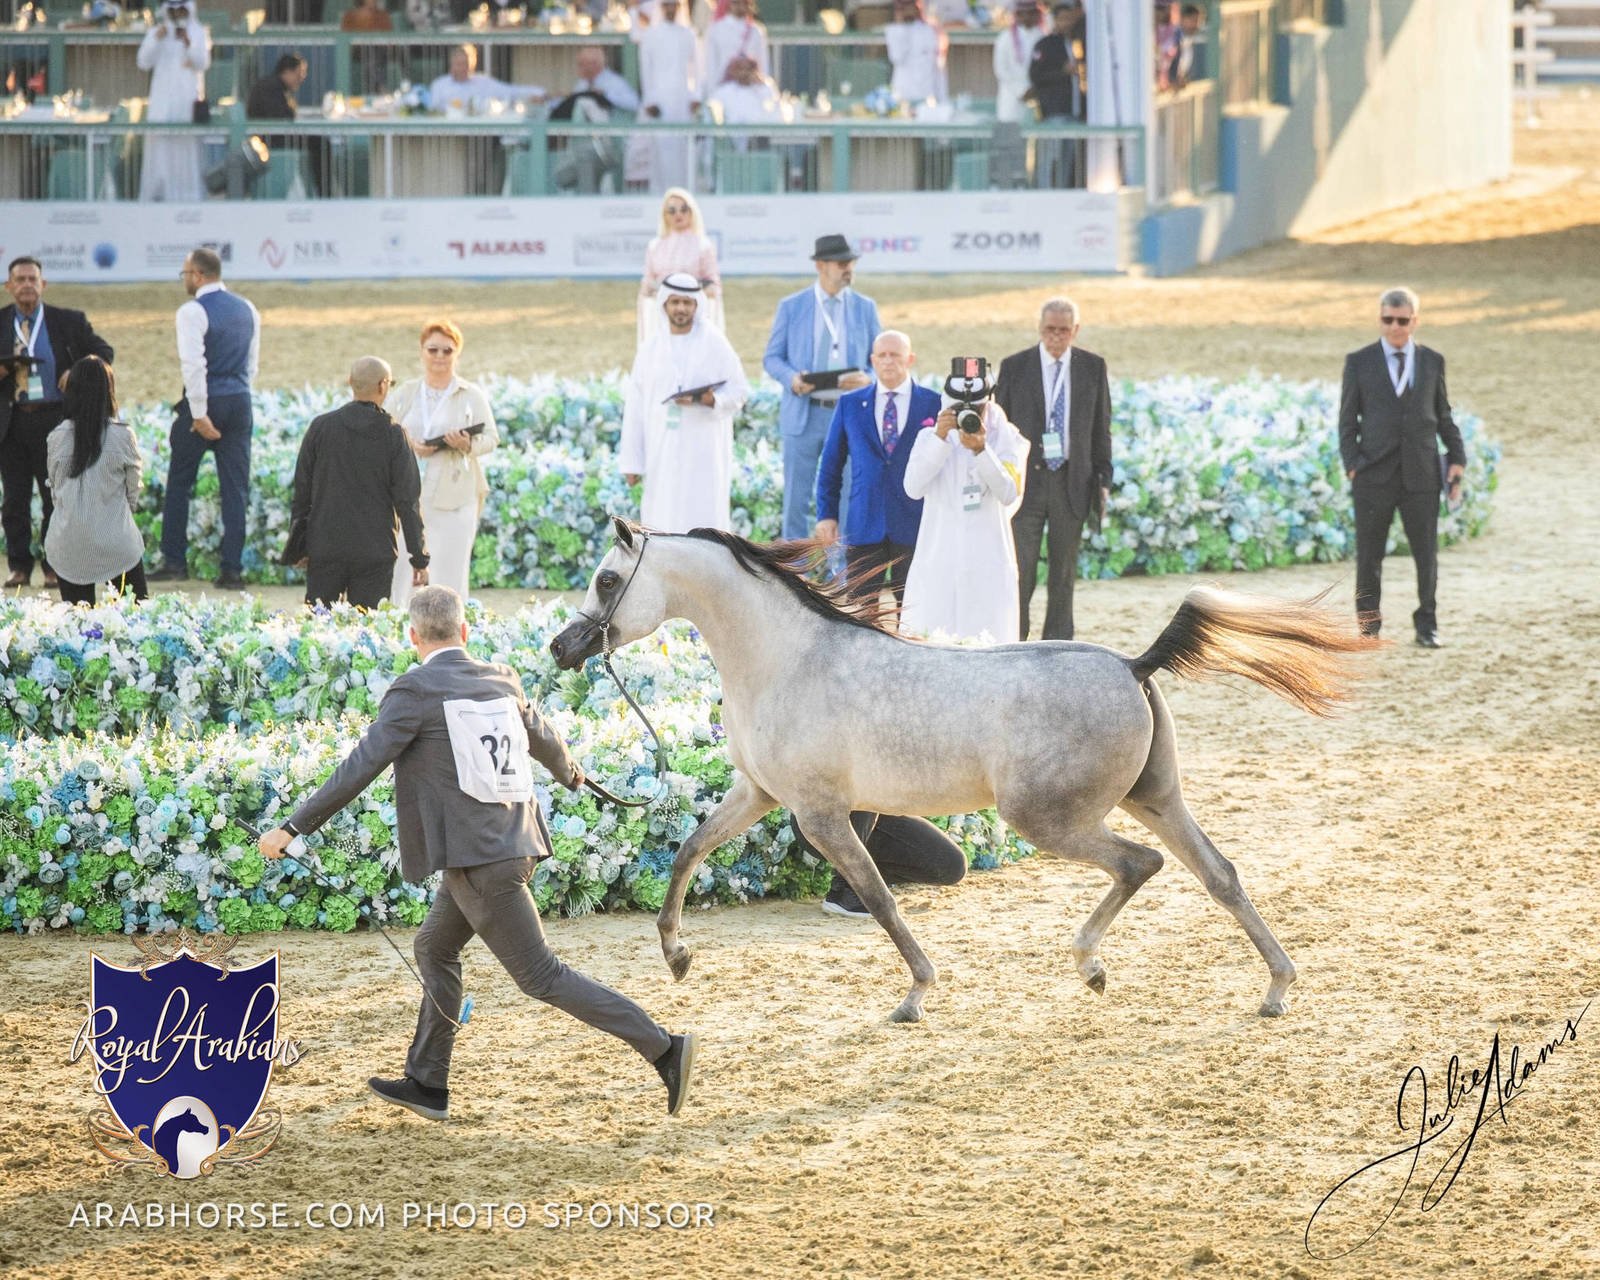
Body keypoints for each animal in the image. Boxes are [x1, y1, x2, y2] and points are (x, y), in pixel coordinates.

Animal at [549, 518, 1370, 1024]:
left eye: (605, 578)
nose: (562, 647)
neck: (789, 659)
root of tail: (1134, 665)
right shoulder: (758, 795)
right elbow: (689, 851)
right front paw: (677, 957)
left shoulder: (820, 815)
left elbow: (879, 899)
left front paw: (915, 995)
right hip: (1155, 797)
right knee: (1218, 873)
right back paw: (1276, 988)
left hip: (1049, 818)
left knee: (1140, 866)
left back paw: (1092, 965)